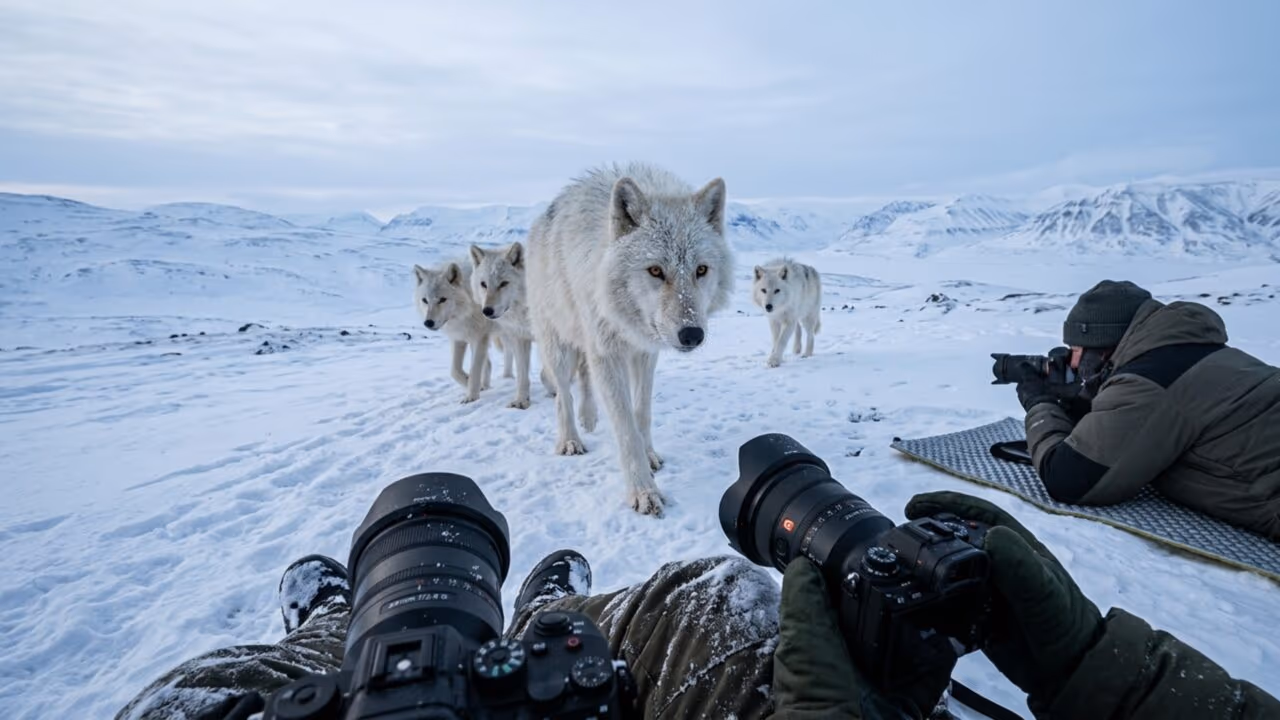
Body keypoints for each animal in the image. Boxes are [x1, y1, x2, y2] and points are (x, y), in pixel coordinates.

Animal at [413, 260, 493, 403]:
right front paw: (471, 385)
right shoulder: (459, 338)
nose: (428, 323)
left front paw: (471, 397)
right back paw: (485, 386)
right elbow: (454, 371)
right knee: (489, 364)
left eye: (442, 299)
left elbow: (474, 369)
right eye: (425, 300)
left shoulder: (479, 337)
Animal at [527, 163, 733, 515]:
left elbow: (642, 413)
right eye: (655, 271)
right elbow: (625, 428)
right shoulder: (607, 354)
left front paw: (649, 455)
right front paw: (643, 491)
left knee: (584, 381)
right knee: (562, 395)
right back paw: (570, 439)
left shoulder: (645, 353)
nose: (692, 335)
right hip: (559, 346)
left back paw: (589, 418)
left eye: (701, 270)